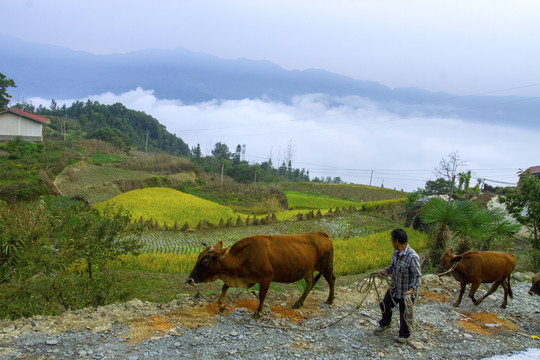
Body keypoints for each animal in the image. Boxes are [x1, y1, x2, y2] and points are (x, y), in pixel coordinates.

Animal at [188, 232, 336, 316]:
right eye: (198, 257)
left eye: (205, 261)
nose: (189, 280)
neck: (245, 255)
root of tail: (321, 234)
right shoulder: (242, 277)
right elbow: (224, 287)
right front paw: (221, 306)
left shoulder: (266, 278)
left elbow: (262, 295)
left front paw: (258, 312)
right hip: (308, 270)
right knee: (310, 283)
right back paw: (298, 303)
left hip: (326, 267)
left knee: (331, 280)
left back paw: (329, 300)